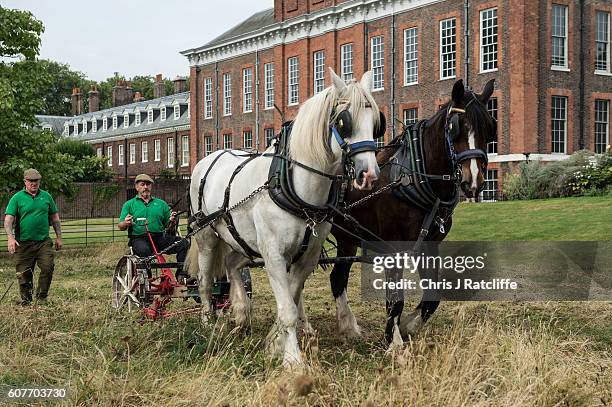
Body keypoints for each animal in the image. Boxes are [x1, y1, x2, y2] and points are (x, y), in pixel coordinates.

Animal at [330, 79, 498, 344]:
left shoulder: (429, 244)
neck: (413, 177)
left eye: (491, 128)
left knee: (337, 278)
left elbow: (432, 297)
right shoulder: (393, 248)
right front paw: (394, 340)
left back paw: (348, 326)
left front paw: (409, 325)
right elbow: (395, 300)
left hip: (347, 238)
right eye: (455, 127)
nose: (473, 181)